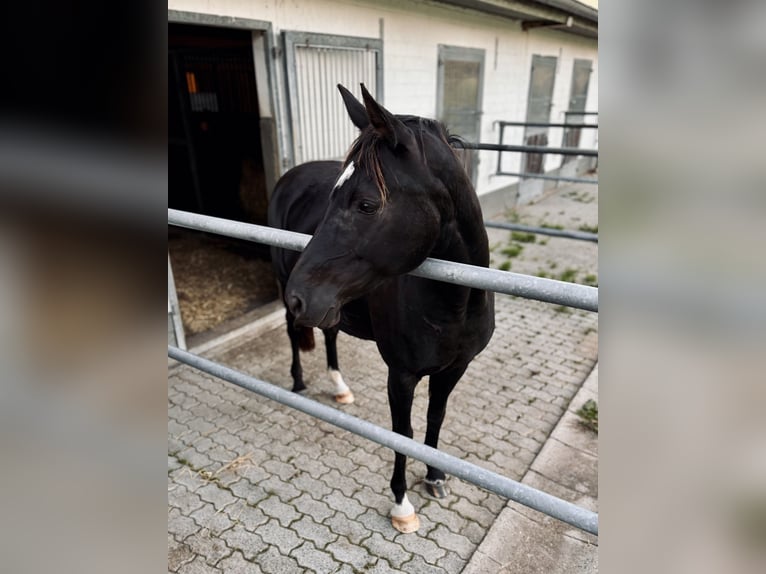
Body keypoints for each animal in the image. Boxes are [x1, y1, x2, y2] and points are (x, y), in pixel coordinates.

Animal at [270, 85, 498, 536]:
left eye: (367, 204)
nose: (300, 296)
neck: (455, 304)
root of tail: (289, 176)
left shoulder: (454, 370)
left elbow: (435, 419)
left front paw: (434, 477)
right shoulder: (402, 375)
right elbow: (402, 432)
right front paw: (401, 504)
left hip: (333, 308)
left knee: (329, 333)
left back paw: (339, 386)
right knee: (291, 330)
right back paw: (299, 382)